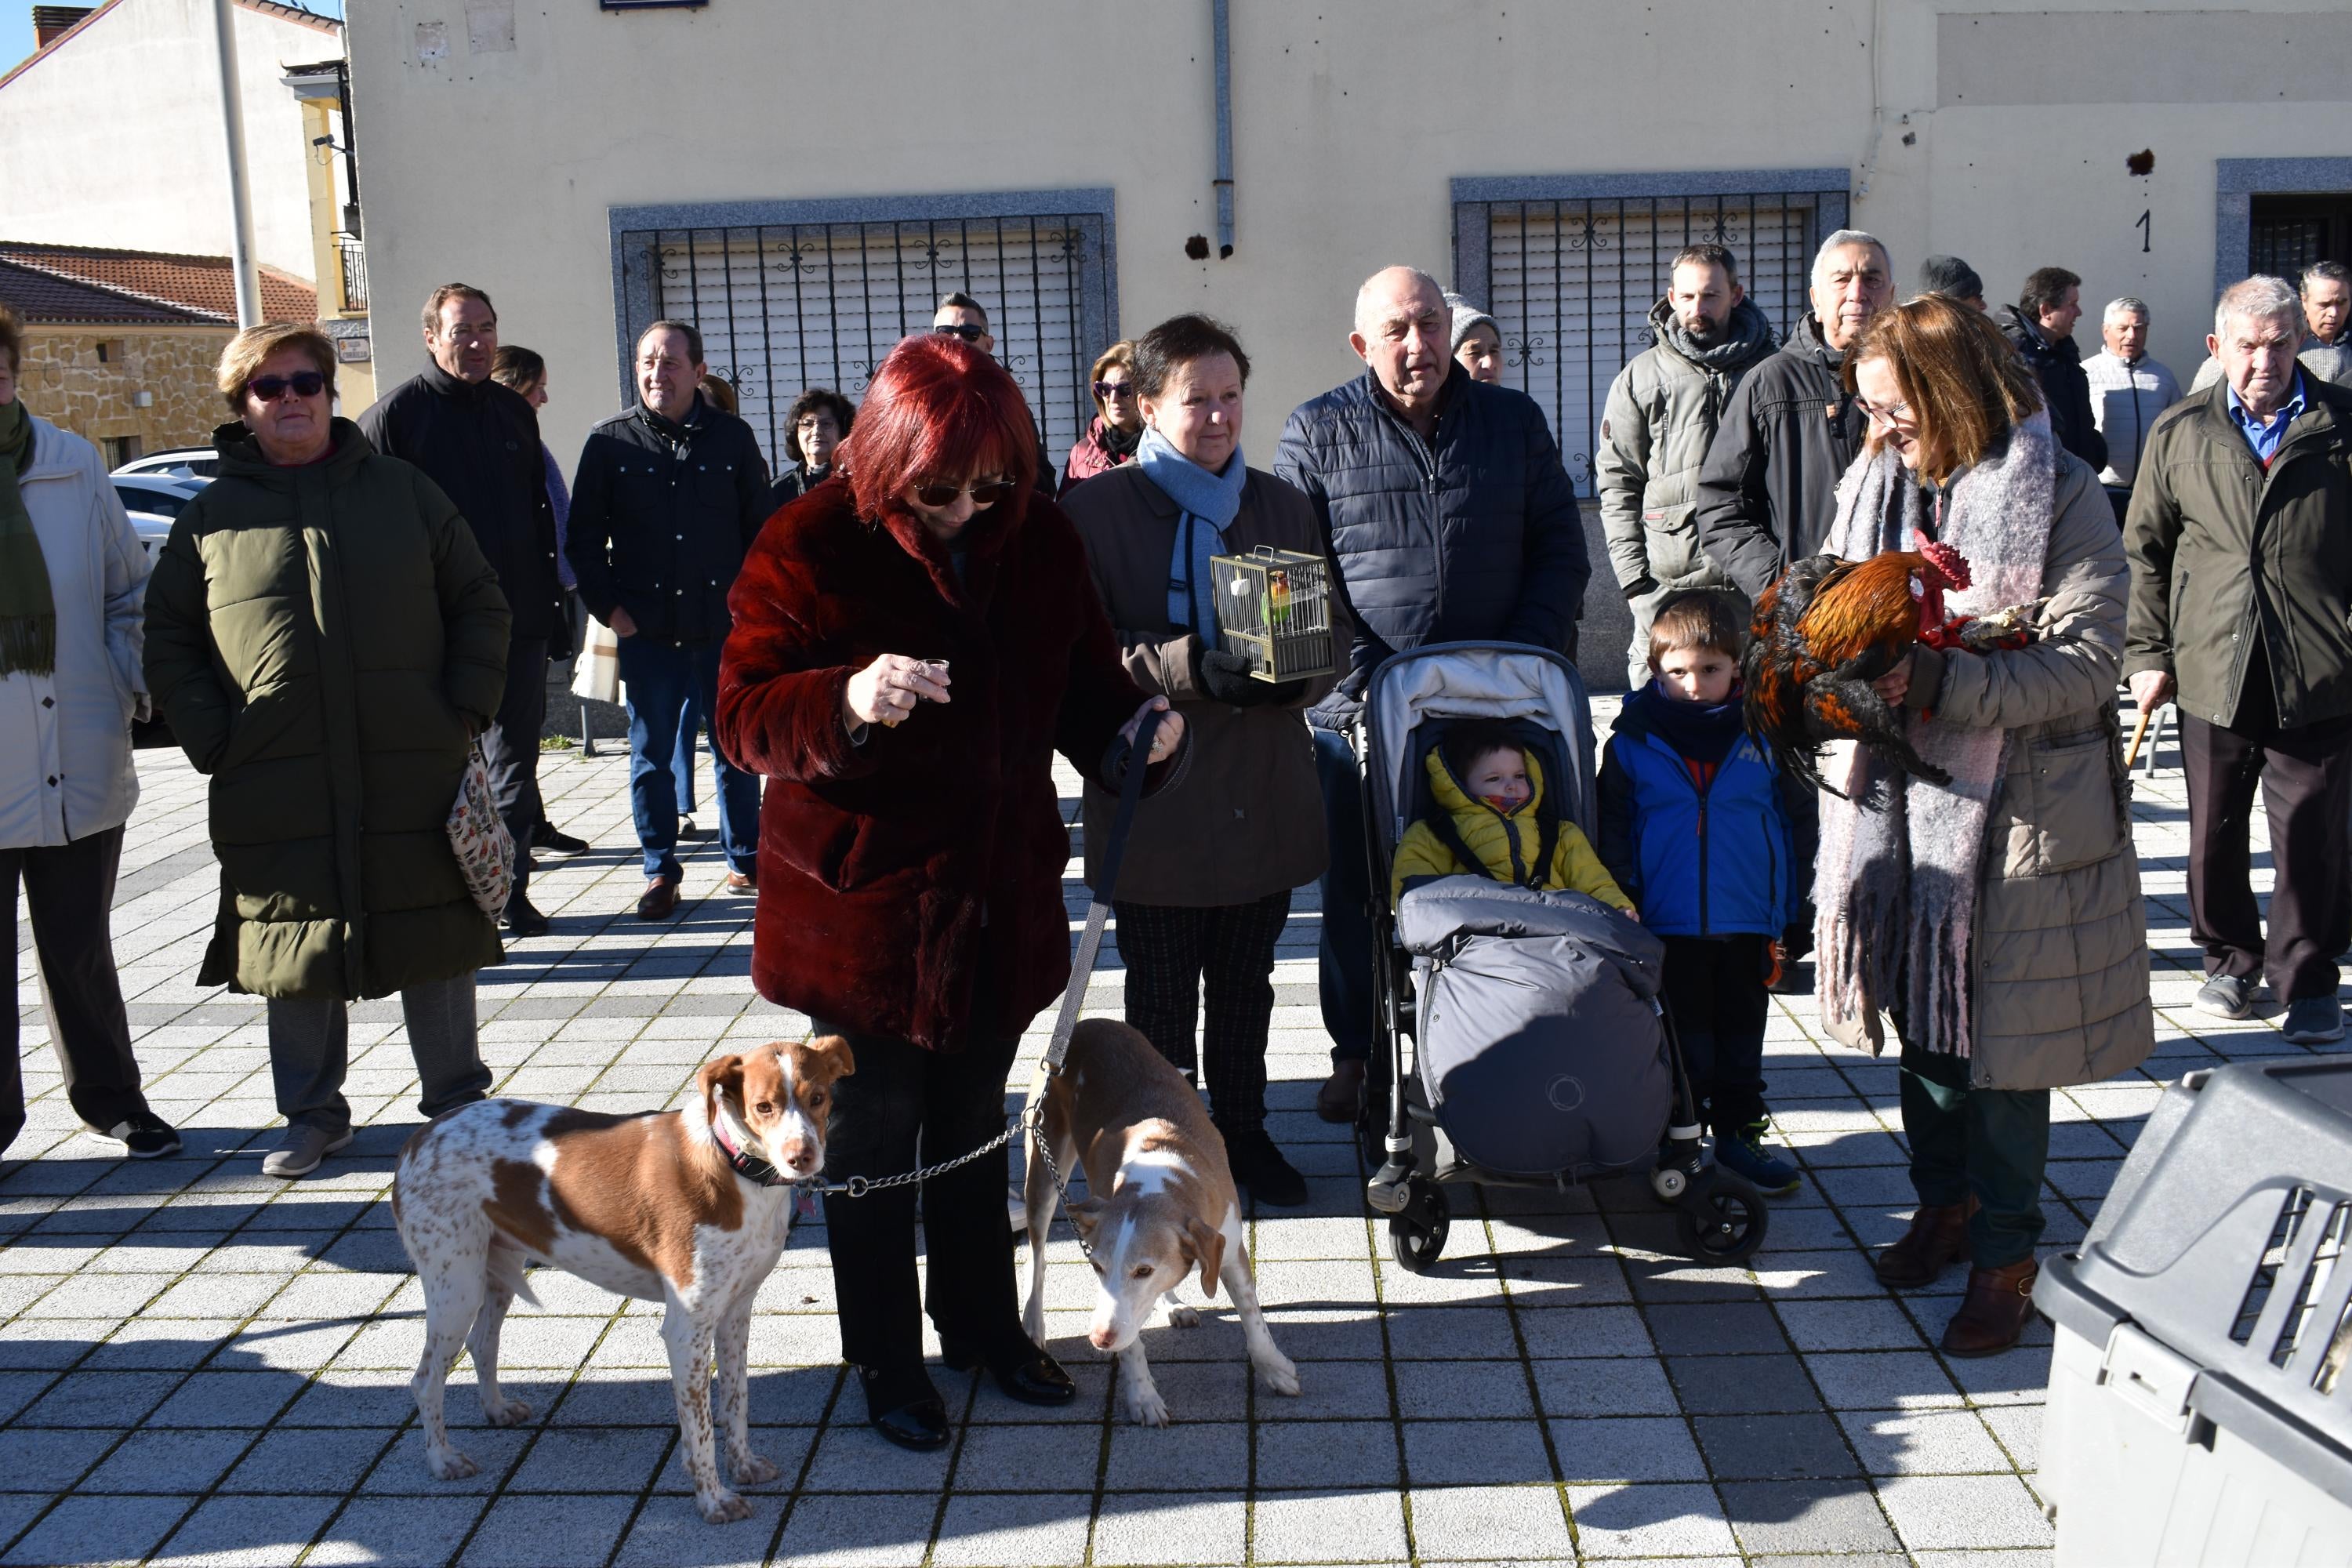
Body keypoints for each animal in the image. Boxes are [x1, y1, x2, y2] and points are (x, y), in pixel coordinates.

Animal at [393, 1034, 856, 1523]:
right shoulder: (687, 1329)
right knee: (425, 1379)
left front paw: (743, 1465)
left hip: (497, 1268)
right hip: (455, 1286)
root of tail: (418, 1137)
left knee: (482, 1342)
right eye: (763, 1106)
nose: (802, 1158)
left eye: (818, 1098)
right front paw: (713, 1499)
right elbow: (700, 1430)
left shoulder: (735, 1313)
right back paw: (442, 1459)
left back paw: (497, 1410)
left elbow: (737, 1402)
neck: (735, 1169)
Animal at [1016, 1025, 1298, 1429]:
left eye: (1144, 1270)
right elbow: (1130, 1341)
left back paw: (1172, 1304)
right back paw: (1033, 1323)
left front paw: (1274, 1368)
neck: (1160, 1177)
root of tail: (1087, 1024)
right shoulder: (1114, 1299)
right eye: (1097, 1267)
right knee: (1036, 1258)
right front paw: (1143, 1397)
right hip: (1042, 1169)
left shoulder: (1229, 1247)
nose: (1098, 1339)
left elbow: (1254, 1318)